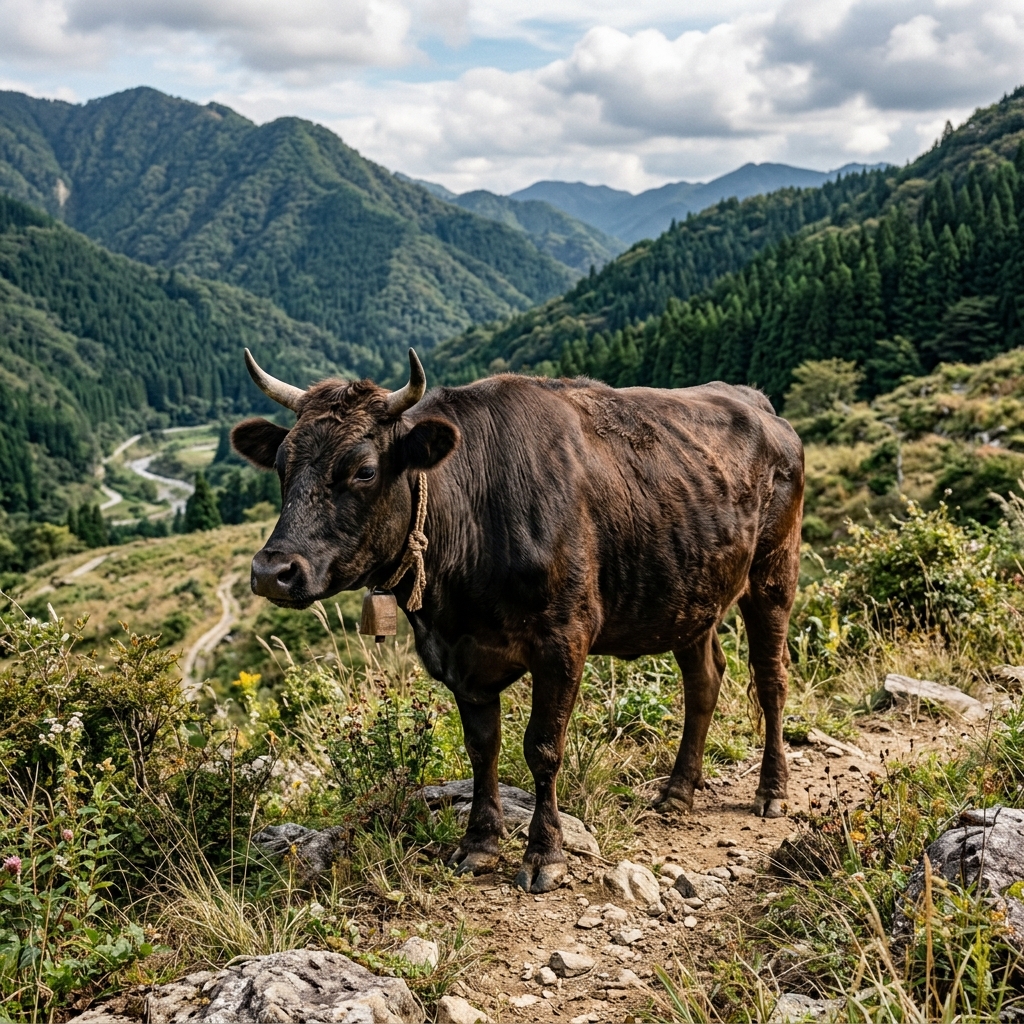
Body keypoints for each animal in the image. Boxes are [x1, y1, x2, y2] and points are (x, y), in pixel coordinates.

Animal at [231, 348, 804, 893]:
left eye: (364, 470)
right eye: (282, 465)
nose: (272, 571)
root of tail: (756, 402)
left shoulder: (563, 640)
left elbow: (542, 748)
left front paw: (543, 854)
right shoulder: (457, 655)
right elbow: (482, 748)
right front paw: (479, 843)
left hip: (774, 572)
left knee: (771, 679)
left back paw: (772, 790)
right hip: (690, 590)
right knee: (704, 680)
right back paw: (678, 790)